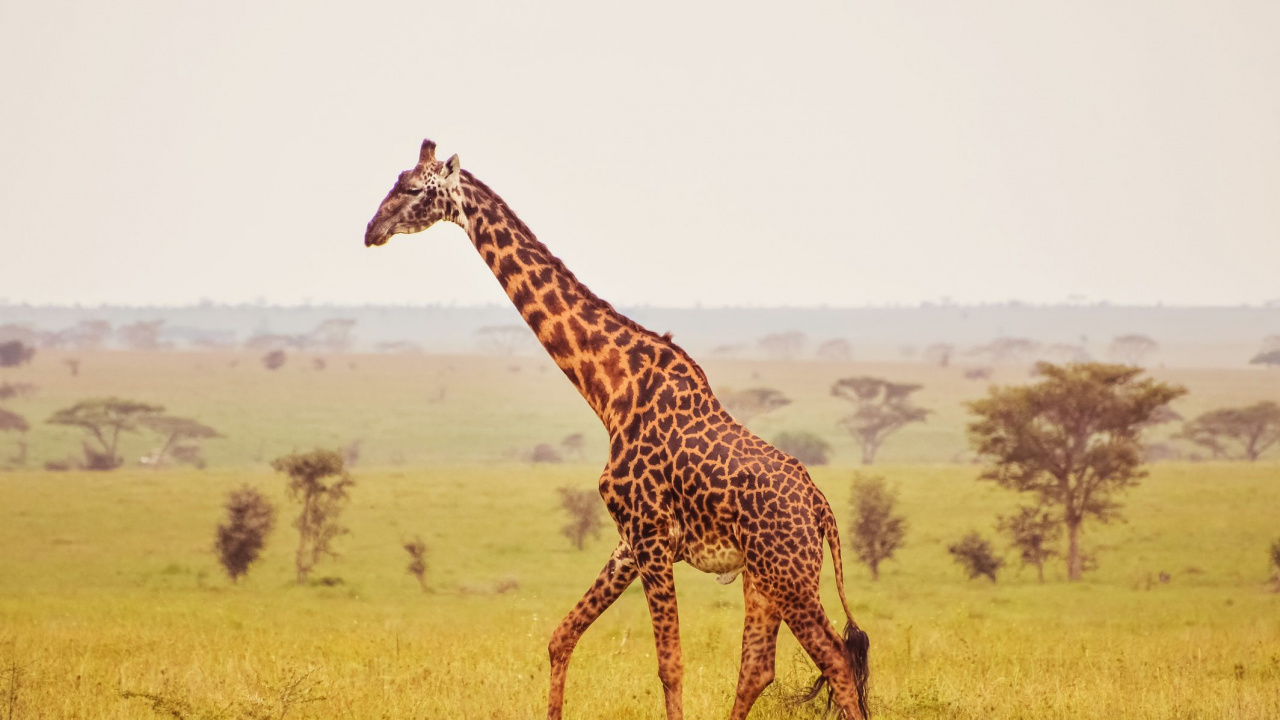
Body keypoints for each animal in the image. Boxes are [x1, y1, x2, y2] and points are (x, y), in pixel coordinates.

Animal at [364, 139, 871, 720]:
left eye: (412, 188)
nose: (371, 229)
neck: (610, 388)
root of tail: (821, 509)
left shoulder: (650, 534)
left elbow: (670, 666)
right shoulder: (628, 541)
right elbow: (561, 637)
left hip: (789, 575)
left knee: (836, 660)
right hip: (763, 577)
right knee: (759, 667)